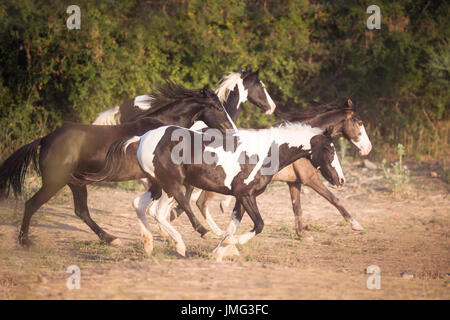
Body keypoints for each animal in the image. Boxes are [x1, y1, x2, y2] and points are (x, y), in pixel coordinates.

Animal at [0, 84, 237, 246]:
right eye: (217, 107)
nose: (232, 131)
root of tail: (45, 139)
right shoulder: (163, 177)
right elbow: (180, 198)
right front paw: (200, 230)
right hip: (54, 182)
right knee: (32, 204)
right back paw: (25, 241)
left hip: (76, 182)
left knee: (81, 211)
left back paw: (110, 238)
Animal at [76, 121, 344, 256]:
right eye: (329, 149)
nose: (340, 179)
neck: (267, 152)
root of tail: (142, 138)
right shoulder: (246, 194)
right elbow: (258, 225)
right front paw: (231, 243)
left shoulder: (241, 197)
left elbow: (233, 224)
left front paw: (221, 248)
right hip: (173, 185)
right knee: (168, 210)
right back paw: (192, 238)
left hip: (159, 185)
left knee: (144, 207)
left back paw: (152, 245)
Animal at [174, 97, 370, 238]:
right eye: (359, 122)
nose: (368, 148)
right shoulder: (309, 178)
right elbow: (333, 199)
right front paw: (356, 224)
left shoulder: (294, 183)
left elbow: (297, 207)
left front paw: (302, 234)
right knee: (198, 202)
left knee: (191, 202)